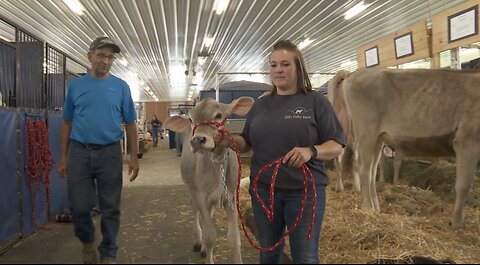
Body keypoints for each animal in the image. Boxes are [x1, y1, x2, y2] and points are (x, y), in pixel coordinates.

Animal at [330, 67, 480, 227]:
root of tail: (354, 73)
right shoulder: (467, 142)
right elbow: (464, 185)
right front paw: (457, 223)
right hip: (366, 134)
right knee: (364, 169)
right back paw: (369, 207)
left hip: (377, 139)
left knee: (372, 170)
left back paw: (376, 207)